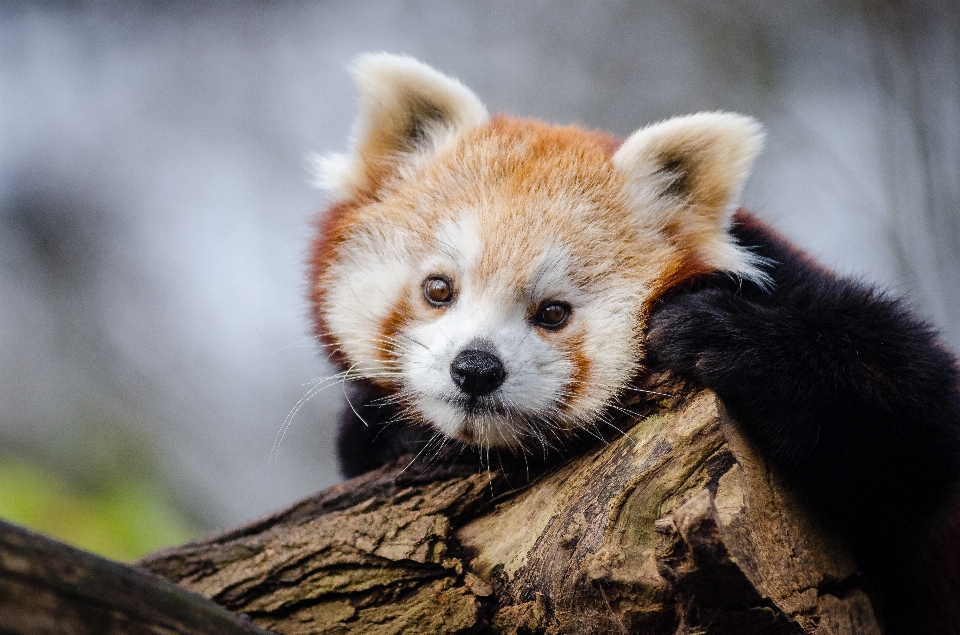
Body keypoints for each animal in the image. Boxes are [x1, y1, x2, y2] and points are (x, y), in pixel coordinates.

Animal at [310, 54, 960, 635]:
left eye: (553, 313)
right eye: (438, 289)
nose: (475, 368)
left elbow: (918, 408)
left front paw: (726, 335)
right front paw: (401, 431)